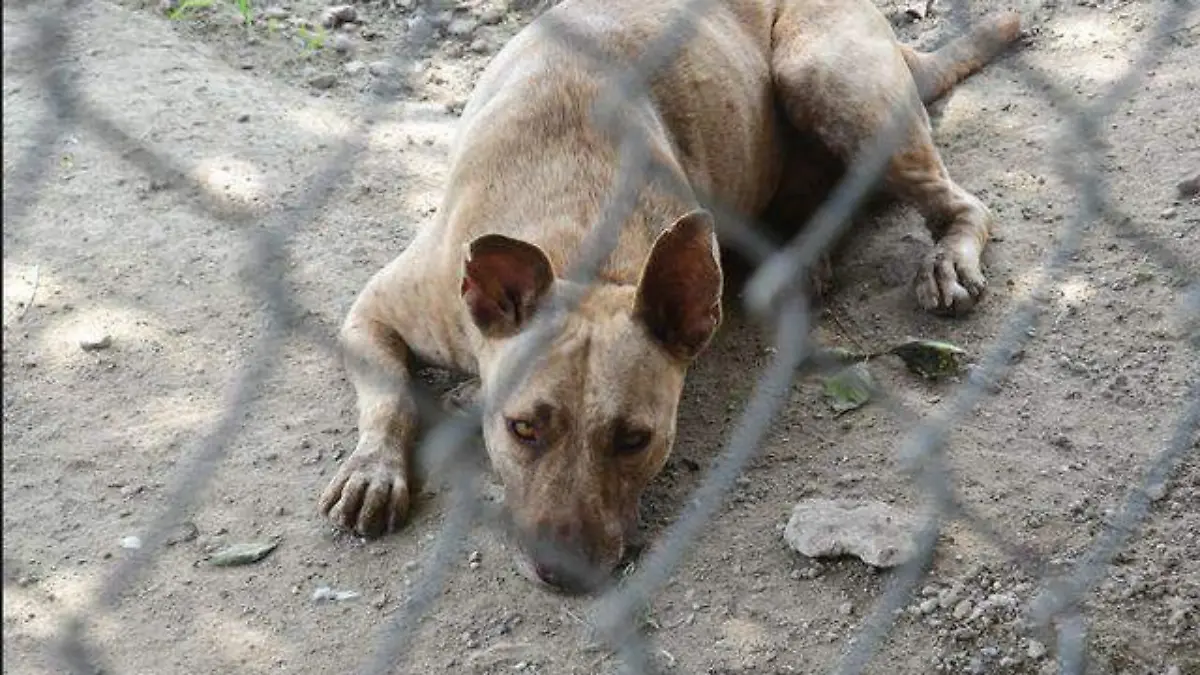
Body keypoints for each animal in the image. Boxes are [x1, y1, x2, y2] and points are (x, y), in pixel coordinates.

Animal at [319, 0, 1022, 593]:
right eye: (521, 429)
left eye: (635, 439)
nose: (564, 575)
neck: (581, 250)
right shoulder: (372, 313)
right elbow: (389, 396)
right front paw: (373, 468)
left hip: (825, 76)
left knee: (956, 202)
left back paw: (940, 261)